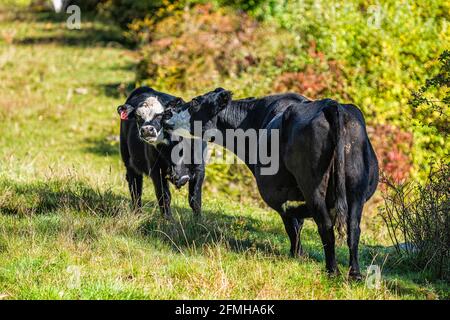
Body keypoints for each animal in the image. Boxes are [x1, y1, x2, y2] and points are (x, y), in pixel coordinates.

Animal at [117, 86, 207, 219]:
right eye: (138, 117)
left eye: (161, 115)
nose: (146, 130)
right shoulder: (156, 170)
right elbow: (164, 197)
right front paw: (168, 221)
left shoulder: (199, 168)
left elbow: (195, 199)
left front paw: (198, 220)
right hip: (128, 161)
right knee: (135, 188)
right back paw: (137, 214)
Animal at [163, 87, 378, 278]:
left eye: (195, 102)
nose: (166, 113)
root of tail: (332, 105)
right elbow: (297, 222)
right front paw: (298, 253)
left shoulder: (277, 192)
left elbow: (291, 223)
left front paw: (296, 253)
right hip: (356, 188)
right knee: (353, 227)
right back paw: (355, 274)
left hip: (313, 187)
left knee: (325, 225)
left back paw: (331, 271)